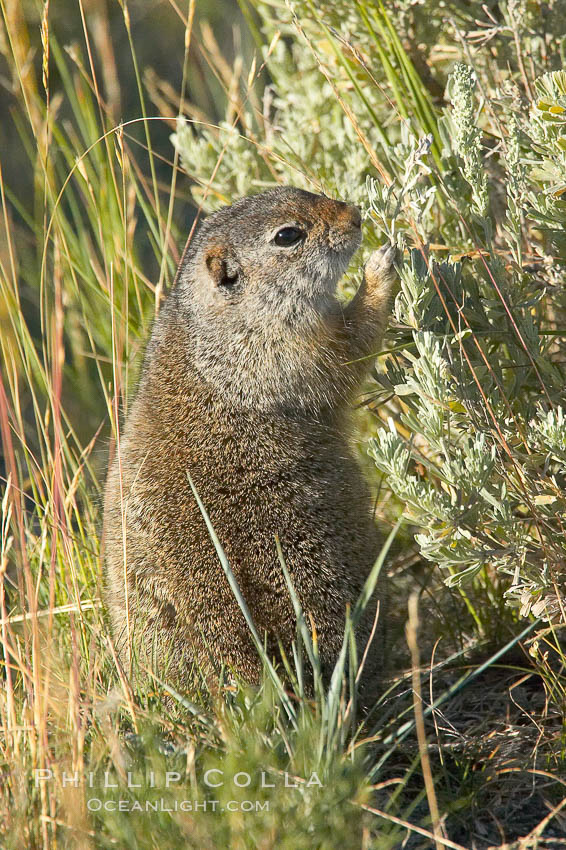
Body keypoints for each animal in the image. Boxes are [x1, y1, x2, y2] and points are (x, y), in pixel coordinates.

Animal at [102, 189, 398, 704]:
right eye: (288, 235)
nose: (357, 216)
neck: (217, 324)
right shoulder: (287, 349)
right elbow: (348, 348)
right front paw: (381, 269)